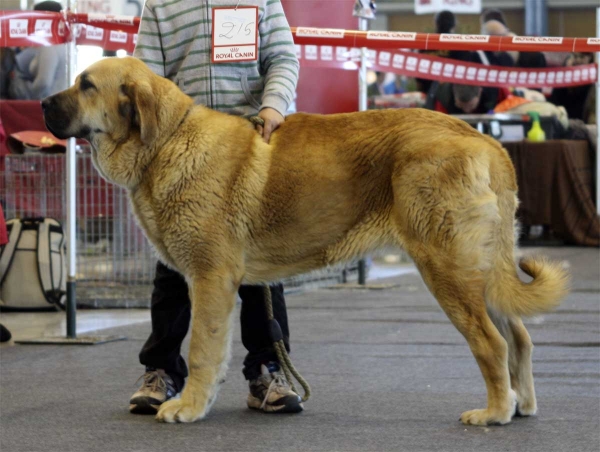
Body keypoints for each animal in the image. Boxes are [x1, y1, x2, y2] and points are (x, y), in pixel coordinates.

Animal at [42, 56, 568, 424]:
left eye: (86, 85)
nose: (44, 103)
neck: (166, 142)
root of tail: (487, 142)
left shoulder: (211, 278)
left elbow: (202, 350)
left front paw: (188, 407)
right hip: (481, 271)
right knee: (518, 336)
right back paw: (521, 405)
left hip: (448, 268)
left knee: (492, 343)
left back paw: (494, 413)